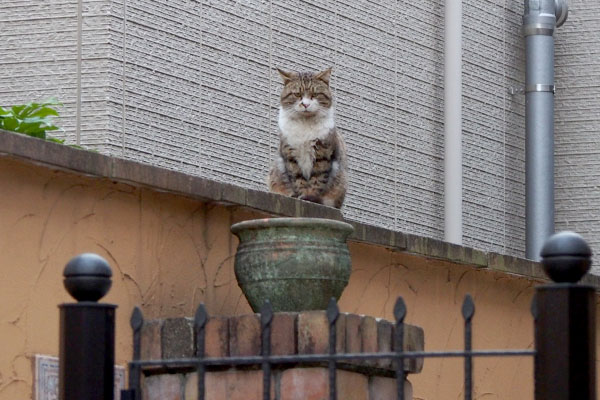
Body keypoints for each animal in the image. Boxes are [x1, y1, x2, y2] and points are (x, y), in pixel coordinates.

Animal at [268, 67, 346, 208]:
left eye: (314, 94)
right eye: (297, 94)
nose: (305, 104)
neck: (305, 124)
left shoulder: (323, 154)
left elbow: (317, 179)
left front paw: (310, 197)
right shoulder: (291, 155)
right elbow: (298, 179)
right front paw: (301, 196)